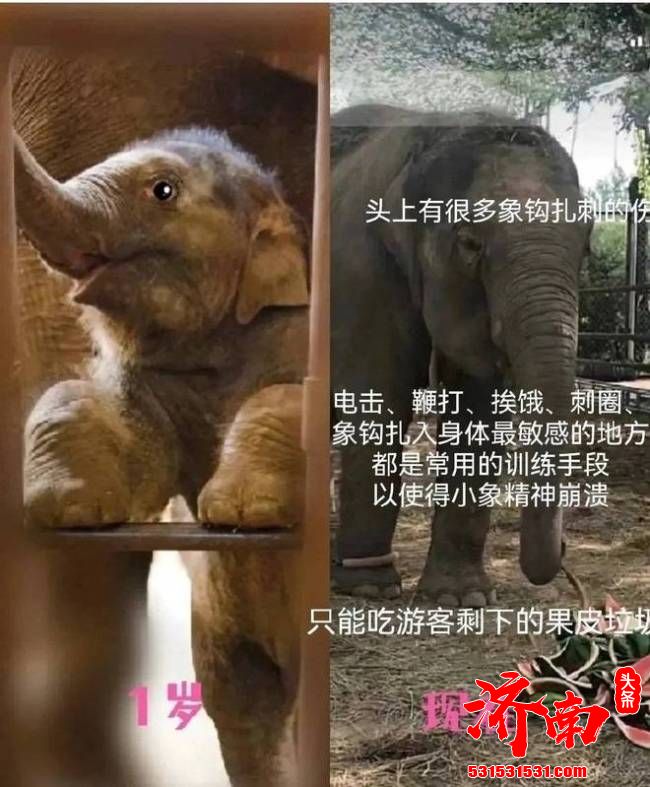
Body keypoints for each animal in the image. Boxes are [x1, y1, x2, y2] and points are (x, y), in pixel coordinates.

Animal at [11, 47, 315, 787]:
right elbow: (120, 441)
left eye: (163, 192)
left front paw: (242, 509)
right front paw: (68, 508)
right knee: (242, 701)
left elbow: (288, 398)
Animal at [331, 104, 591, 607]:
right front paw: (371, 588)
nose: (568, 553)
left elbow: (476, 408)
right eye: (471, 245)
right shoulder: (362, 271)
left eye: (587, 246)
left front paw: (460, 599)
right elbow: (379, 400)